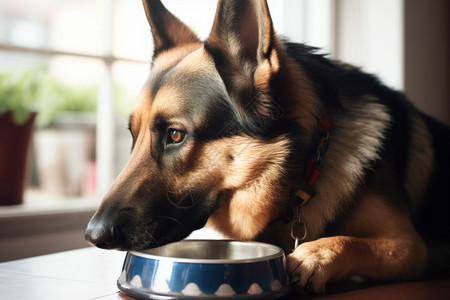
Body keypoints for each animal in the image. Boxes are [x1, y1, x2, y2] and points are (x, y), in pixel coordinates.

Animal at [85, 0, 450, 292]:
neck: (310, 164)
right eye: (133, 136)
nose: (93, 236)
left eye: (175, 135)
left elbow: (353, 243)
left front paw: (313, 256)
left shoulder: (409, 247)